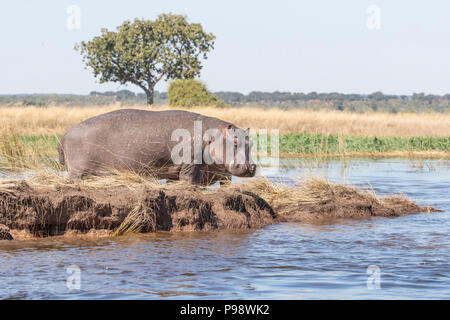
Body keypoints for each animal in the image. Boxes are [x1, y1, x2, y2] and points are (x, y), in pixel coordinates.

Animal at [59, 110, 256, 185]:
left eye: (251, 142)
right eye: (235, 141)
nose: (251, 166)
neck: (211, 135)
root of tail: (65, 133)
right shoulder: (190, 165)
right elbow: (188, 181)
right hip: (77, 171)